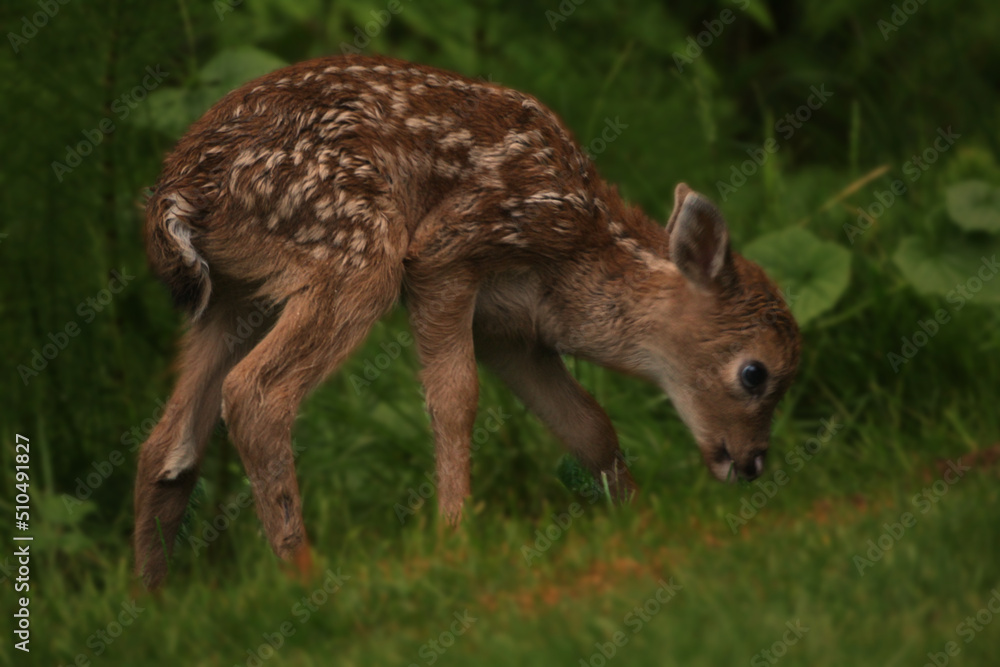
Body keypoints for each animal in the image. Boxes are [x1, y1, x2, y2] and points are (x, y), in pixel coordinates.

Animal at [134, 53, 801, 589]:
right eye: (755, 373)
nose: (751, 463)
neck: (578, 255)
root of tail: (179, 196)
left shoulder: (511, 332)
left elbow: (588, 425)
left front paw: (635, 517)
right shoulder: (449, 253)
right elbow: (457, 399)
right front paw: (453, 539)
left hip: (233, 298)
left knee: (165, 444)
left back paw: (154, 602)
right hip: (354, 249)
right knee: (254, 394)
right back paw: (303, 574)